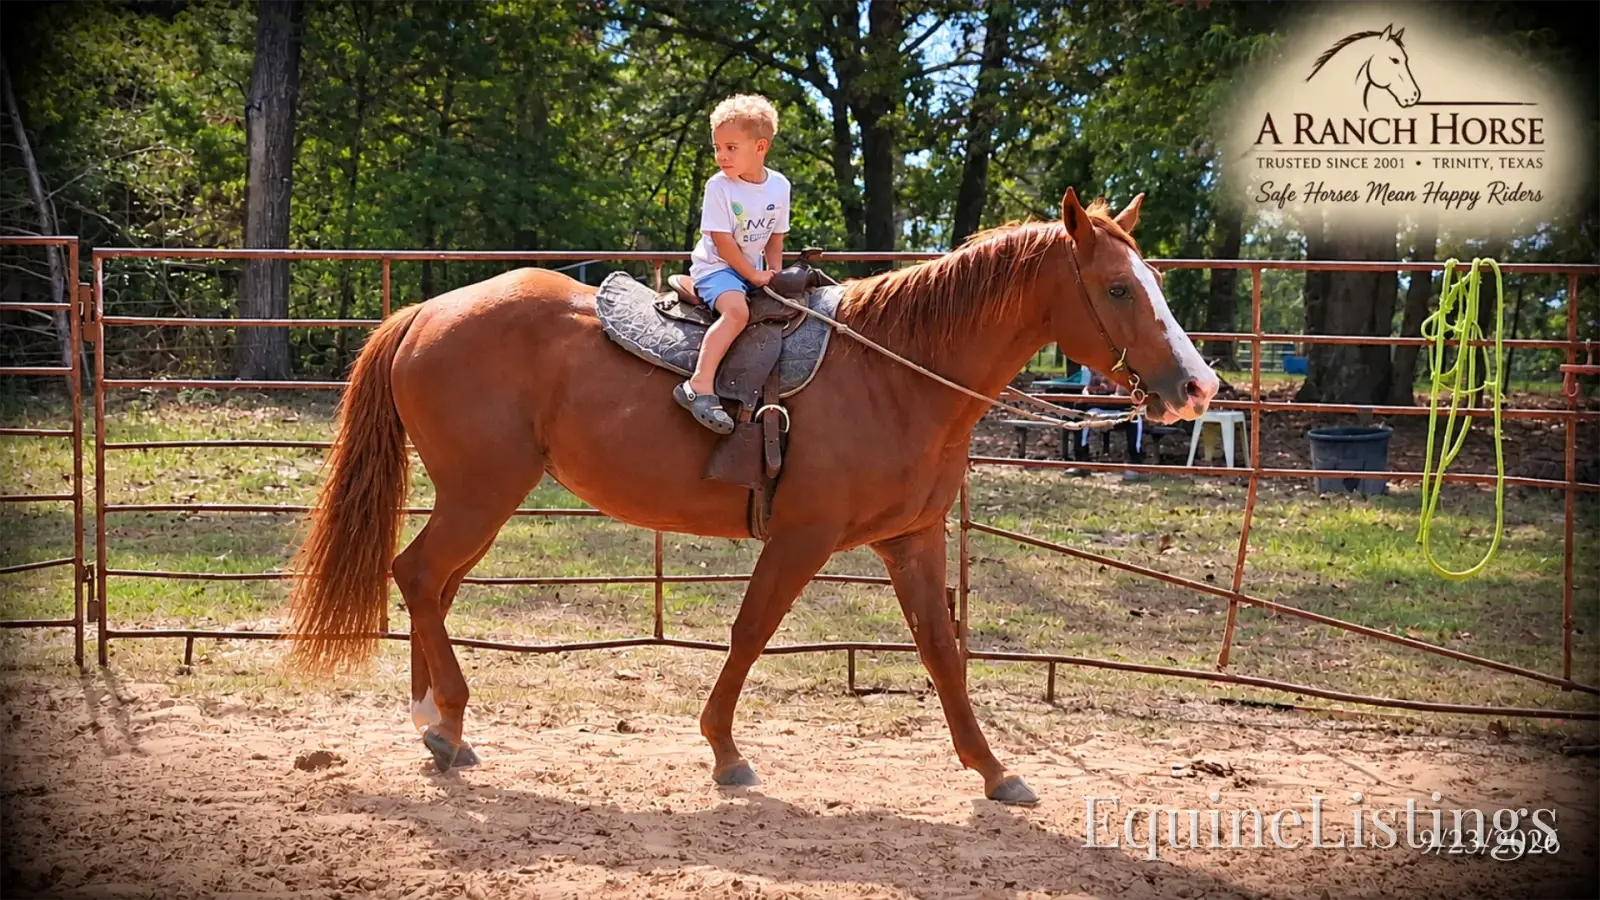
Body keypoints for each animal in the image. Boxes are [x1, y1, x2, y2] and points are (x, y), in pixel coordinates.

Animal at [283, 187, 1219, 805]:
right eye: (1118, 288)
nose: (1197, 387)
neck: (895, 373)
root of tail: (425, 312)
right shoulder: (804, 535)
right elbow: (752, 631)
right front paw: (726, 751)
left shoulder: (914, 539)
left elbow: (942, 652)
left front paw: (994, 771)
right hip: (483, 492)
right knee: (418, 577)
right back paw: (445, 720)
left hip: (484, 498)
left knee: (431, 586)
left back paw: (437, 727)